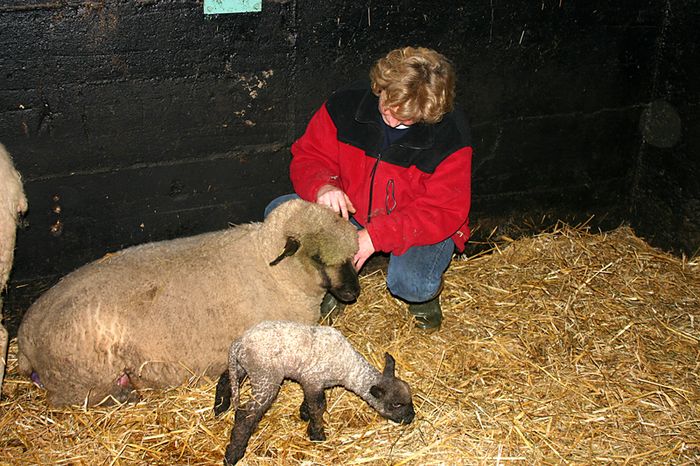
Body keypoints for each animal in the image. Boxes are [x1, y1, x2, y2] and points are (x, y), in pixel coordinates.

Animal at [211, 320, 412, 466]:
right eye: (396, 404)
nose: (411, 418)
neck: (349, 368)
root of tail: (239, 343)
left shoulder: (311, 383)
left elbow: (312, 403)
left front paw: (304, 414)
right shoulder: (312, 380)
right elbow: (319, 407)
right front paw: (317, 435)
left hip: (242, 366)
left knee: (225, 380)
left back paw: (220, 408)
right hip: (265, 377)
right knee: (245, 415)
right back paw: (233, 454)